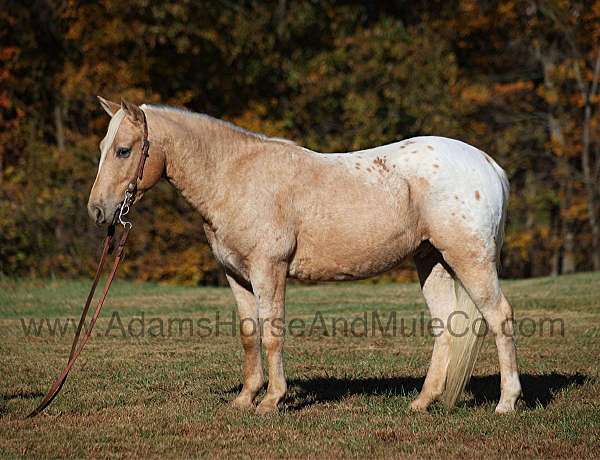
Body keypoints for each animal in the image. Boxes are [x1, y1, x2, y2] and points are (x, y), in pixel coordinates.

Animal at [88, 99, 520, 416]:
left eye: (123, 150)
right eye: (103, 149)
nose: (98, 211)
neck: (235, 177)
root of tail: (488, 164)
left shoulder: (269, 270)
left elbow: (272, 334)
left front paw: (271, 401)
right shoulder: (236, 276)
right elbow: (250, 335)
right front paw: (245, 399)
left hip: (469, 259)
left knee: (499, 316)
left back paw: (506, 403)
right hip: (431, 261)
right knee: (446, 324)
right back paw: (422, 402)